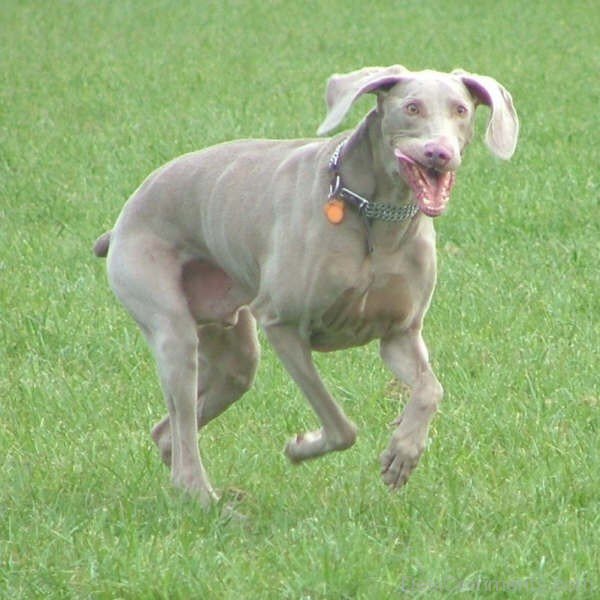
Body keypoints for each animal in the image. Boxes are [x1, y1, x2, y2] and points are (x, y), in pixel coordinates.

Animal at [95, 64, 520, 506]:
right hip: (167, 318)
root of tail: (122, 219)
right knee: (181, 422)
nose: (439, 153)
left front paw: (403, 452)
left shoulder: (401, 334)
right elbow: (339, 424)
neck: (377, 218)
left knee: (172, 428)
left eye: (460, 110)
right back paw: (207, 498)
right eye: (412, 108)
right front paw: (301, 447)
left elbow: (430, 390)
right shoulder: (283, 325)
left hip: (233, 350)